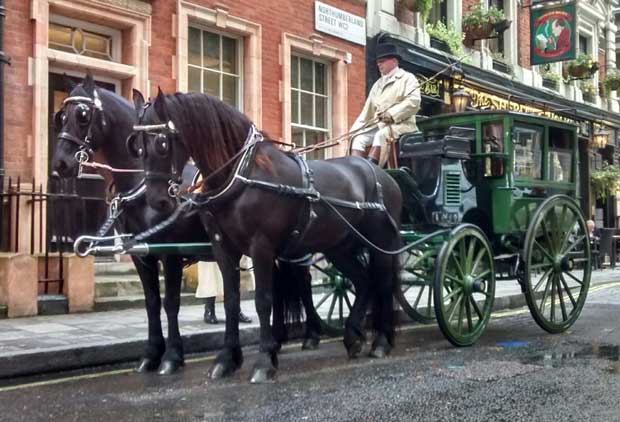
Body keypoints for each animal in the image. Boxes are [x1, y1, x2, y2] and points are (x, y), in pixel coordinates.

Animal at [50, 76, 322, 376]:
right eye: (61, 116)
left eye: (82, 115)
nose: (59, 164)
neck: (140, 185)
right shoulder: (141, 255)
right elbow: (152, 303)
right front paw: (151, 354)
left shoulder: (170, 252)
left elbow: (171, 303)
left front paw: (171, 356)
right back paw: (280, 340)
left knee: (303, 282)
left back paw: (311, 334)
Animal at [130, 89, 402, 382]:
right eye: (137, 146)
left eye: (162, 143)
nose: (156, 201)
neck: (242, 174)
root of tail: (381, 173)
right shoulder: (223, 248)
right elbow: (231, 301)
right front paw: (227, 359)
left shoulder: (261, 246)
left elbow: (263, 301)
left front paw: (263, 361)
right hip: (339, 247)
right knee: (363, 281)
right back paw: (352, 336)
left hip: (381, 244)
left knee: (383, 284)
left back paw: (381, 342)